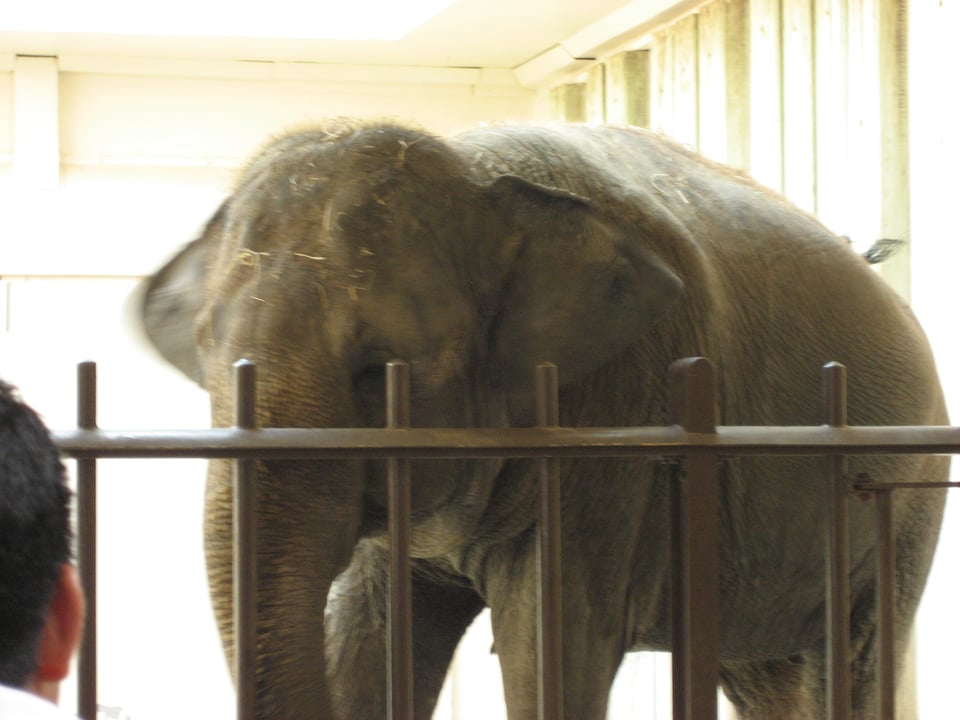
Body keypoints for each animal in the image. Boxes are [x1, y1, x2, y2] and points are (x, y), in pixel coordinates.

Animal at [139, 119, 948, 719]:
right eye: (209, 355)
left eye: (379, 367)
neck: (480, 178)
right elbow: (367, 638)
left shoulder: (616, 424)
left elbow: (549, 643)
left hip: (906, 493)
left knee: (851, 655)